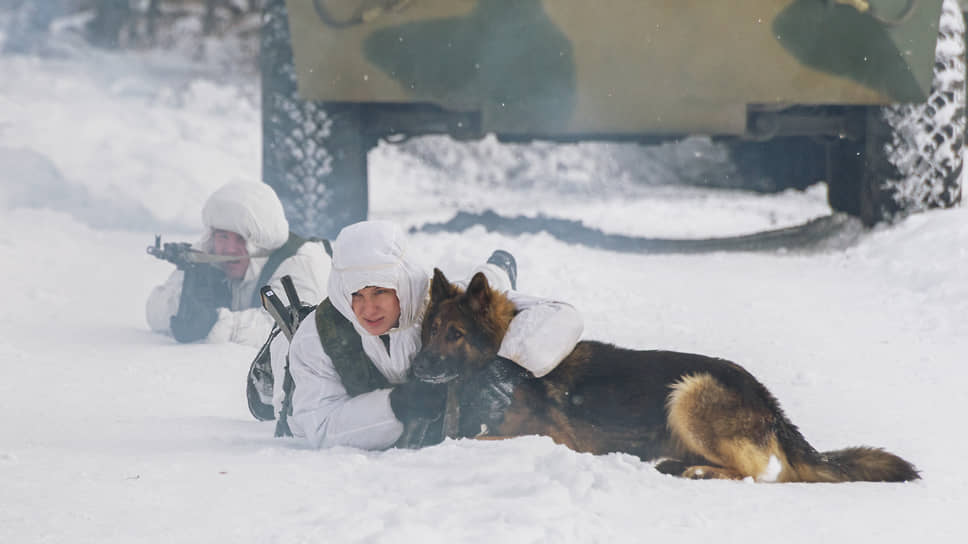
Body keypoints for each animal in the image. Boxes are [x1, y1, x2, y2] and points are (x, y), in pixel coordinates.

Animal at [412, 270, 920, 482]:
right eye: (431, 331)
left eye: (456, 334)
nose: (418, 367)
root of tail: (769, 402)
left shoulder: (552, 438)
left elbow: (478, 438)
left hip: (689, 391)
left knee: (760, 474)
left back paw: (697, 470)